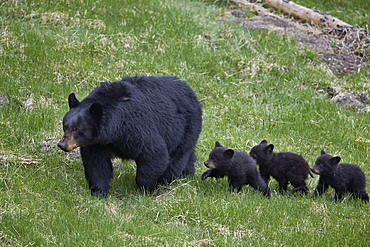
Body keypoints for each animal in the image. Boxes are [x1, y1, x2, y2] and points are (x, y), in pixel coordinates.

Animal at [57, 75, 202, 197]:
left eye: (77, 129)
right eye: (65, 126)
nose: (62, 144)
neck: (115, 128)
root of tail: (192, 93)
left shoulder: (136, 126)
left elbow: (155, 153)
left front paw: (147, 189)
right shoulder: (97, 143)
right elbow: (96, 164)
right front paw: (99, 192)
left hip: (185, 128)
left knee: (177, 157)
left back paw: (167, 181)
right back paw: (187, 175)